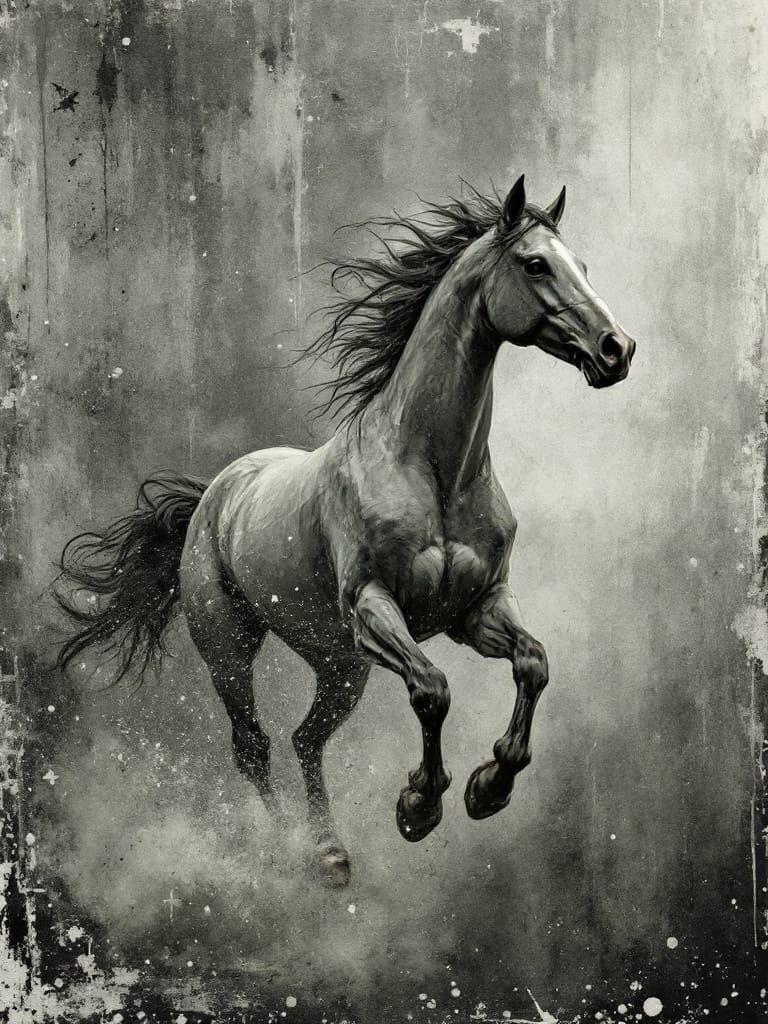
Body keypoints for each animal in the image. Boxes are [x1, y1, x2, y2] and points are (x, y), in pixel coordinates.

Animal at [56, 176, 636, 887]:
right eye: (535, 265)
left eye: (581, 263)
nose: (617, 350)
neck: (432, 470)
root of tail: (212, 498)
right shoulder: (373, 609)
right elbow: (433, 691)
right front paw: (419, 806)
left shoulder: (477, 610)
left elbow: (534, 664)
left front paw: (488, 787)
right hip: (232, 650)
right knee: (255, 746)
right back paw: (295, 853)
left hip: (338, 663)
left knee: (306, 739)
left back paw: (330, 852)